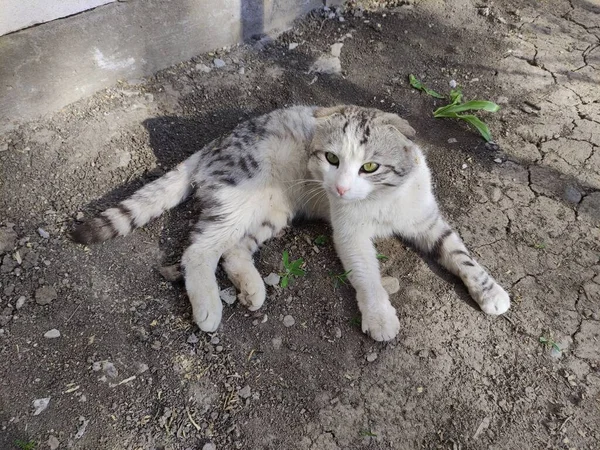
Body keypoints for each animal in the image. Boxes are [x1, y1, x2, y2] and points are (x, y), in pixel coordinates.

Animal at [72, 106, 508, 342]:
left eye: (370, 167)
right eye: (332, 159)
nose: (341, 187)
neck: (382, 201)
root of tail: (213, 144)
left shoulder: (426, 219)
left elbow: (461, 256)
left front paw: (490, 291)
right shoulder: (349, 234)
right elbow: (368, 276)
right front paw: (380, 316)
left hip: (273, 210)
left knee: (233, 251)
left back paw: (251, 289)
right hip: (238, 200)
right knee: (198, 250)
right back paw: (209, 307)